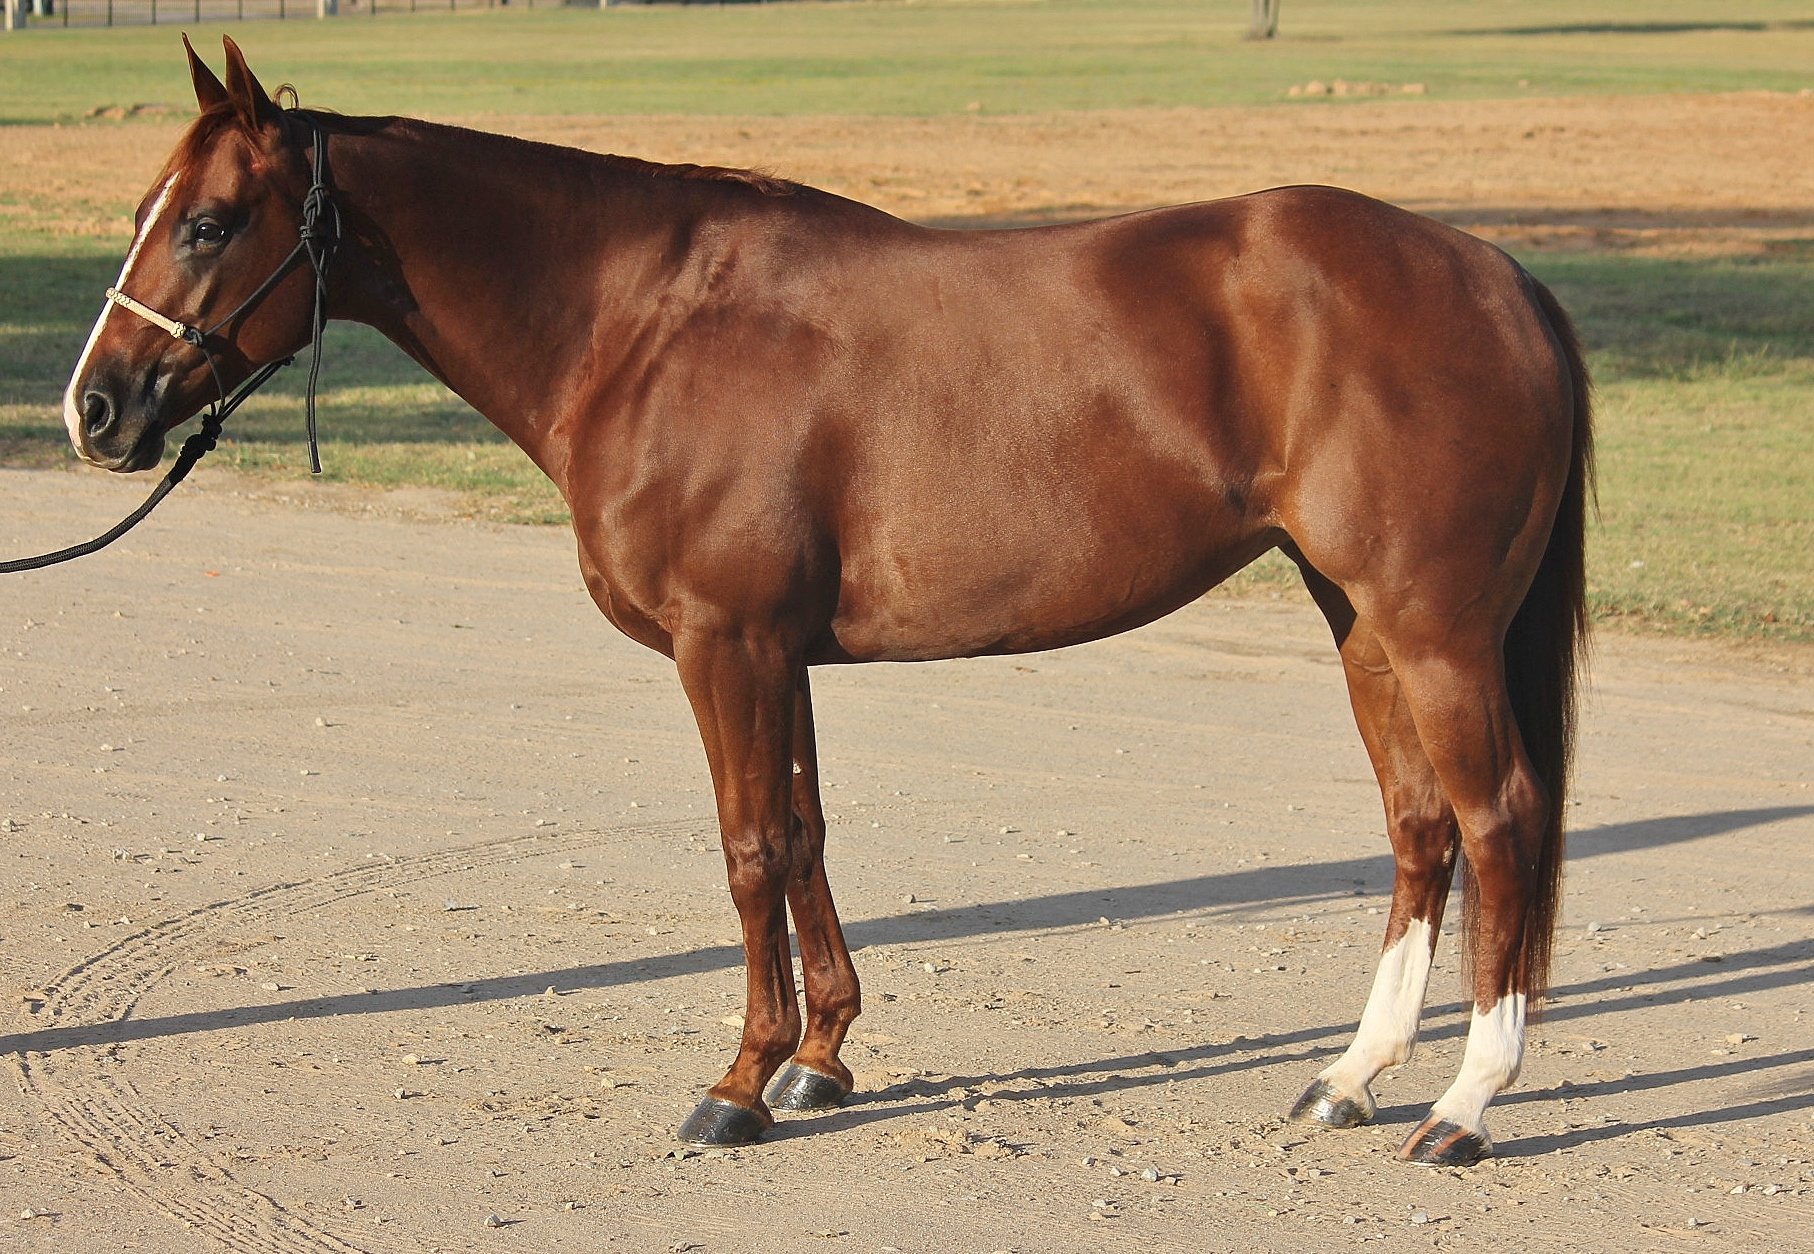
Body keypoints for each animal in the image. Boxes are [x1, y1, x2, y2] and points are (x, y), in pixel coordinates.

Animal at [62, 37, 1591, 1167]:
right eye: (140, 215)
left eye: (209, 222)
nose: (94, 410)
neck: (642, 325)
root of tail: (1493, 272)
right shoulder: (776, 651)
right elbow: (800, 837)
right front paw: (817, 1060)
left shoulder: (723, 644)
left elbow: (747, 851)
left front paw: (736, 1084)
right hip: (1360, 623)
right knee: (1417, 827)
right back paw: (1351, 1076)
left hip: (1435, 633)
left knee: (1499, 820)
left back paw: (1464, 1106)